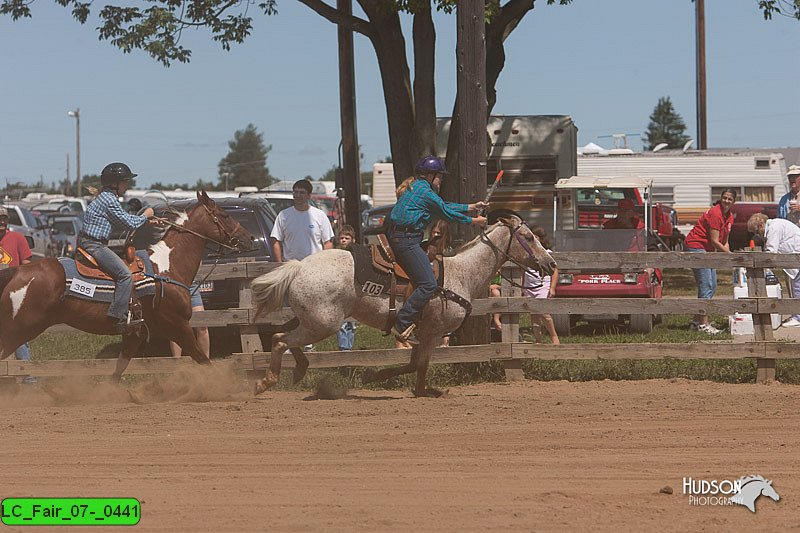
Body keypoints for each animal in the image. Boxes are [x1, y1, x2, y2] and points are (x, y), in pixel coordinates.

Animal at [0, 190, 252, 378]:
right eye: (224, 215)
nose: (248, 238)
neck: (166, 267)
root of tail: (18, 271)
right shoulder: (178, 325)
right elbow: (202, 359)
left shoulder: (136, 333)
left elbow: (119, 368)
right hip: (19, 328)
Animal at [250, 215, 556, 394]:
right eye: (529, 238)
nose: (551, 263)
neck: (461, 273)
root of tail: (299, 266)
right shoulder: (433, 332)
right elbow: (418, 365)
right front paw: (382, 379)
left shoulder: (425, 334)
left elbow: (414, 365)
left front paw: (375, 377)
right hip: (323, 323)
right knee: (280, 339)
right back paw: (266, 382)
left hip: (309, 319)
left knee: (281, 336)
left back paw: (298, 370)